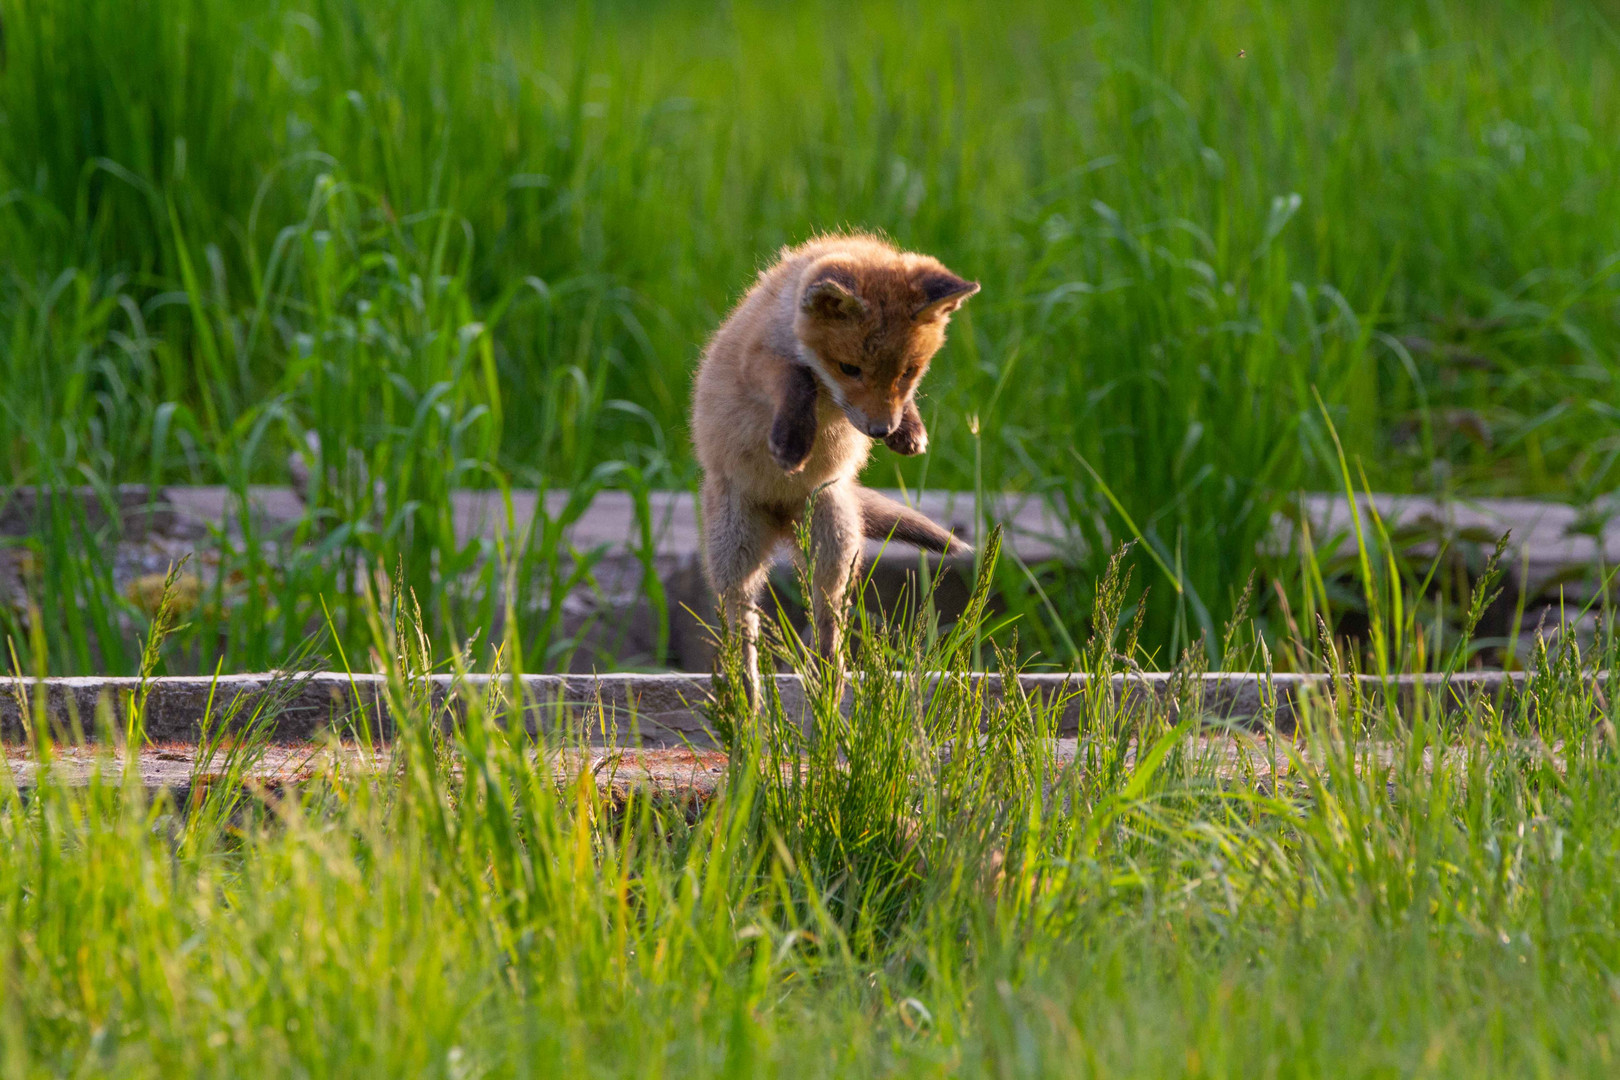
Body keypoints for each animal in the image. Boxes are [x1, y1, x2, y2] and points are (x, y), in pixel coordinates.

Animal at [693, 233, 978, 696]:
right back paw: (747, 690)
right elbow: (797, 380)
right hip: (734, 553)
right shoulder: (759, 360)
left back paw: (828, 675)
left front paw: (910, 428)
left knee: (828, 615)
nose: (880, 430)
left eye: (908, 372)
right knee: (741, 623)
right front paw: (792, 440)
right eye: (850, 368)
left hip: (833, 541)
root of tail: (782, 516)